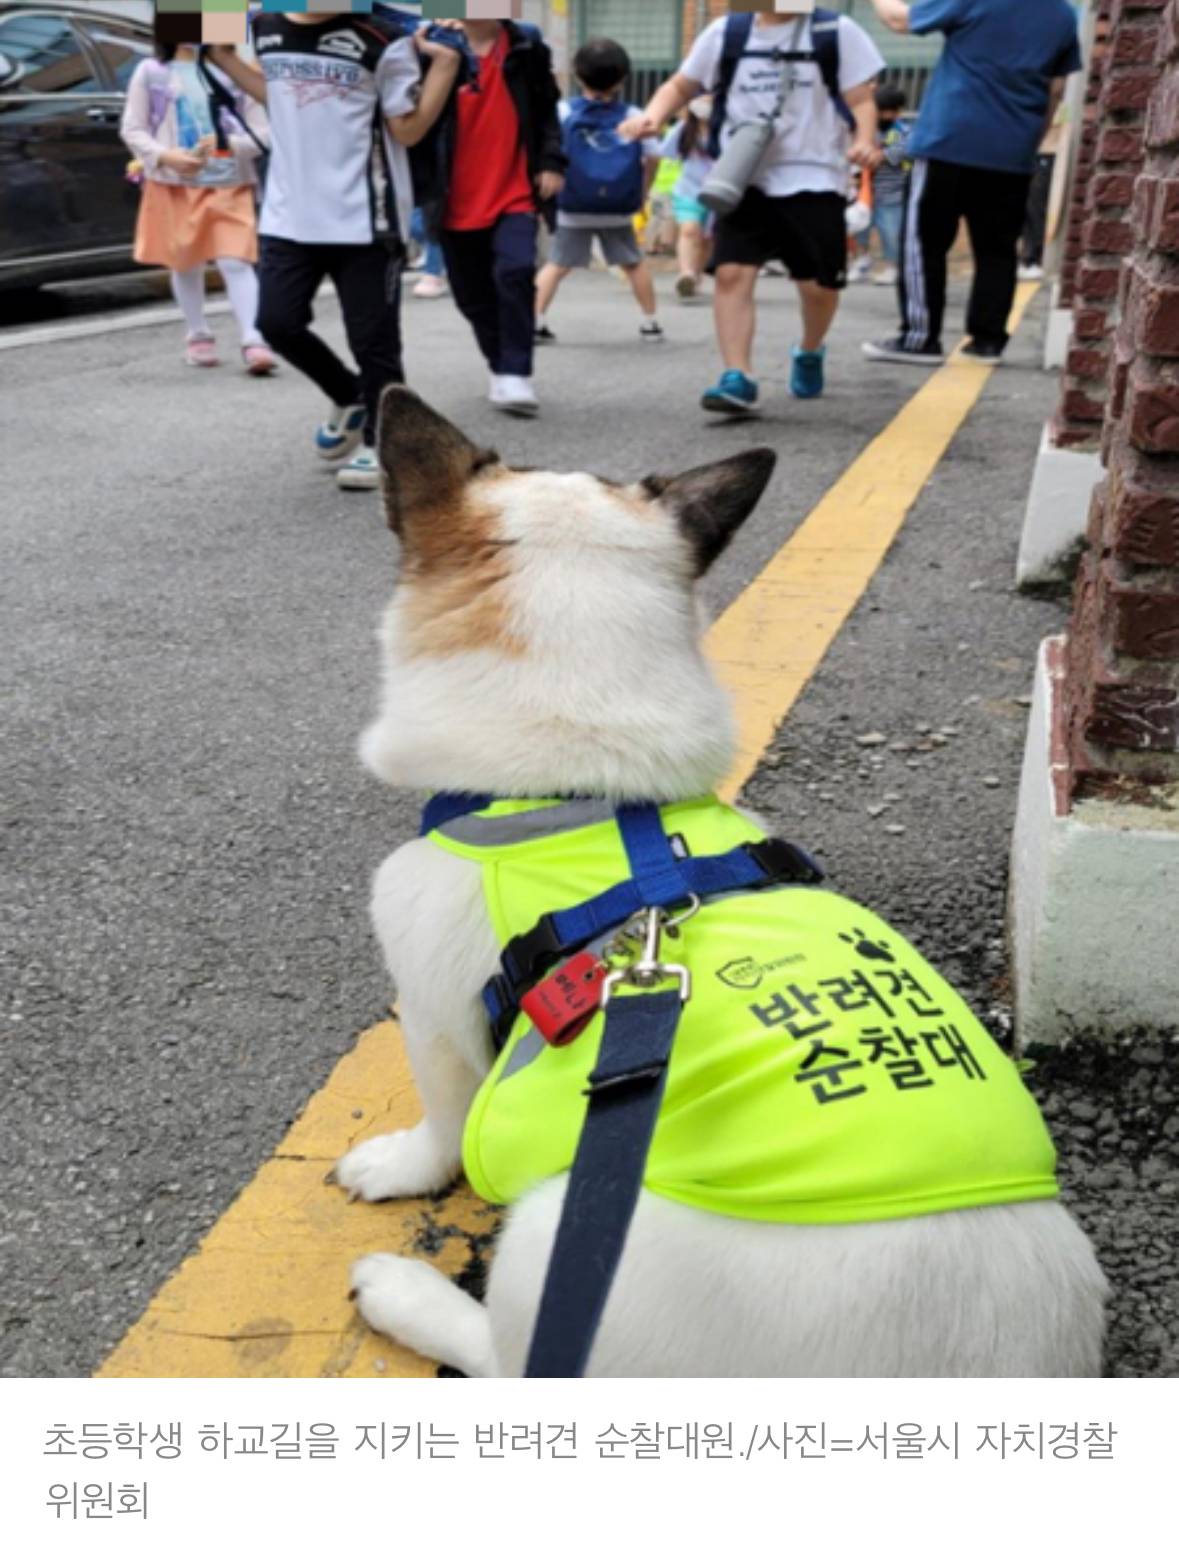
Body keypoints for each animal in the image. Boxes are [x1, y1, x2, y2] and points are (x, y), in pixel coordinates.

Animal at [333, 387, 1103, 1382]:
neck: (580, 788)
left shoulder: (433, 1019)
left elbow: (438, 1125)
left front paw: (396, 1169)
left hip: (550, 1230)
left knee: (515, 1364)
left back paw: (407, 1297)